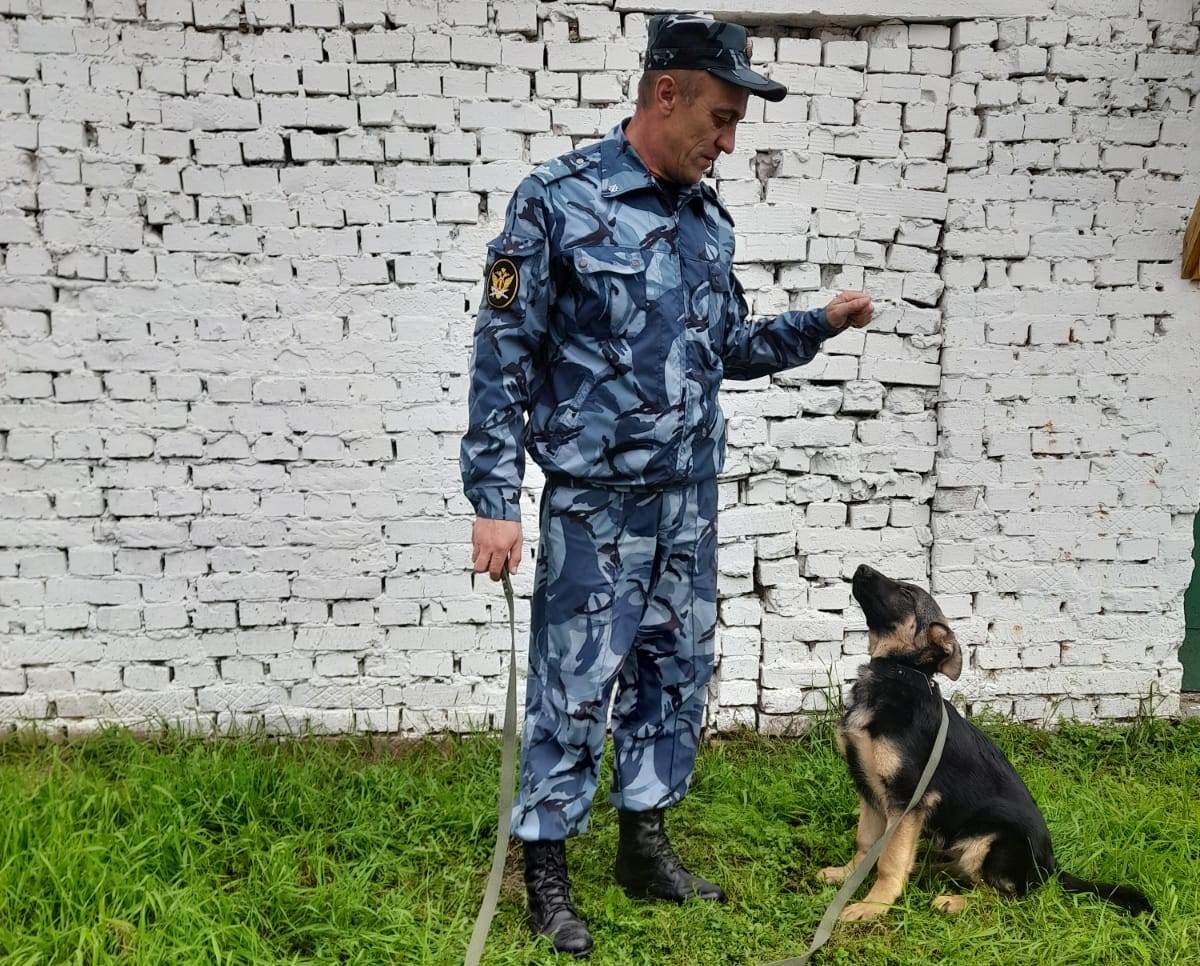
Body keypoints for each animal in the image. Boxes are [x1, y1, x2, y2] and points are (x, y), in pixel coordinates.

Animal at [825, 566, 1152, 921]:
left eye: (907, 593)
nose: (861, 568)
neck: (899, 674)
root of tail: (1049, 869)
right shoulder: (869, 789)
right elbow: (865, 842)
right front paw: (847, 876)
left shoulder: (907, 799)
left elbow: (889, 858)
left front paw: (874, 904)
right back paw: (932, 870)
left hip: (992, 839)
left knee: (1007, 897)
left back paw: (953, 900)